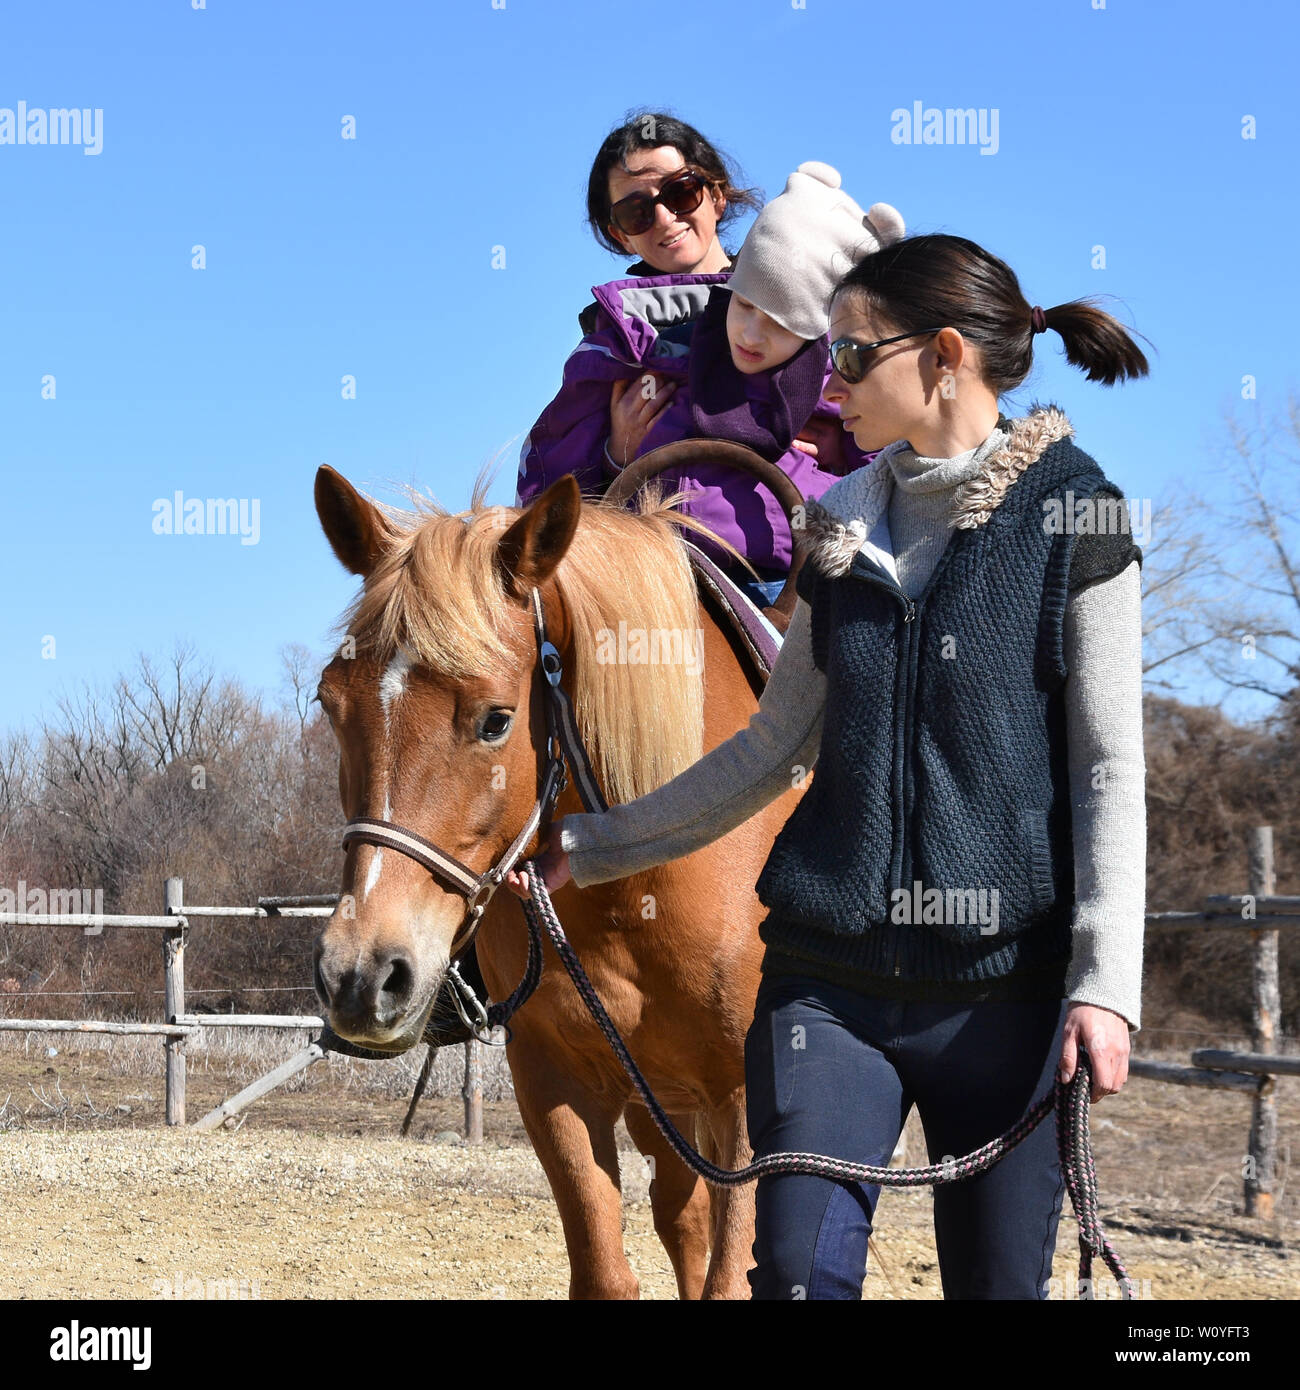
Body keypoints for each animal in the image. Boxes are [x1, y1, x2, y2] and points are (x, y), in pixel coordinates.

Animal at [312, 467, 800, 1301]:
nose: (360, 974)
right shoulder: (556, 1081)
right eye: (329, 703)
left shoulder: (748, 1099)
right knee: (684, 1217)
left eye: (496, 719)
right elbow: (606, 1270)